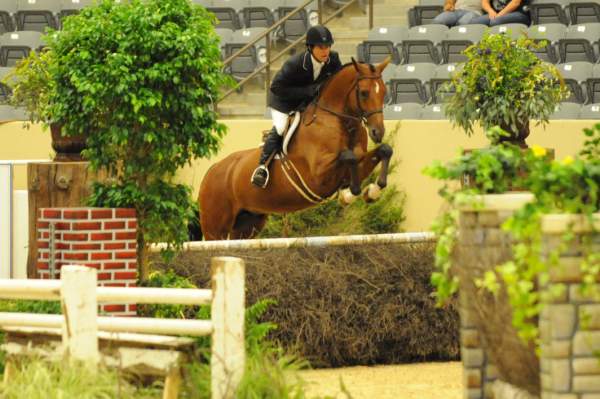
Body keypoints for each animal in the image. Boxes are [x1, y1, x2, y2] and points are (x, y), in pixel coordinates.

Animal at [198, 57, 394, 241]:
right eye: (364, 93)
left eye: (384, 92)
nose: (378, 132)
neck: (339, 121)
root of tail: (212, 170)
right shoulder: (318, 175)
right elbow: (348, 157)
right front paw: (348, 194)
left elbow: (384, 151)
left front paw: (372, 191)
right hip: (215, 228)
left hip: (248, 223)